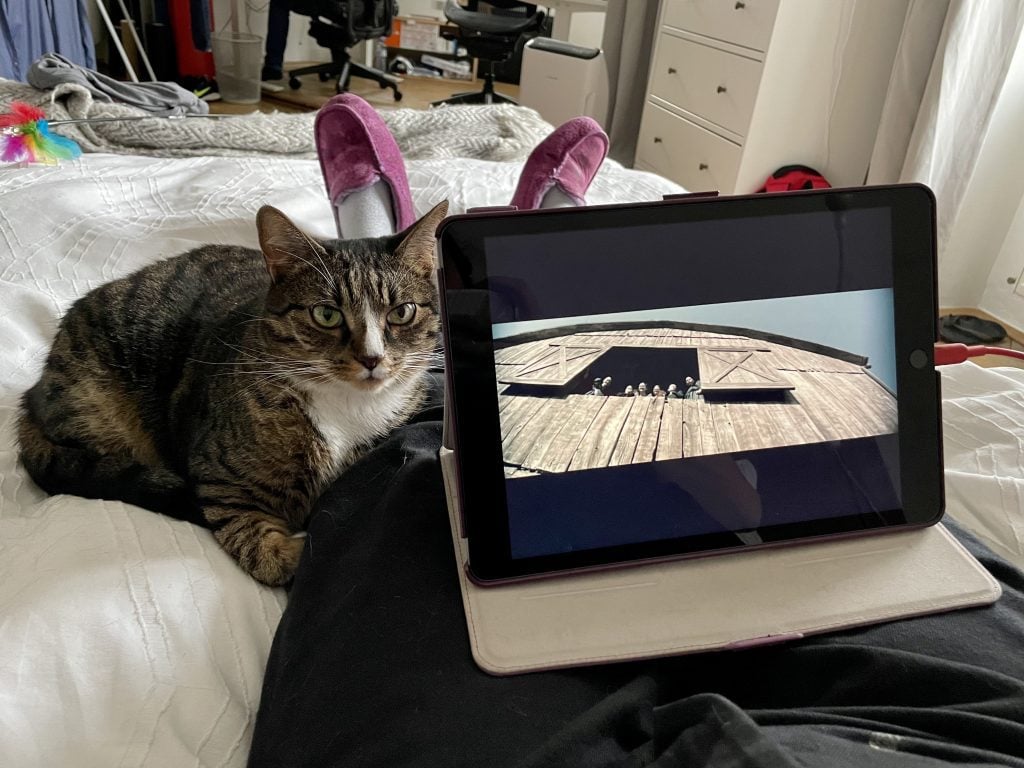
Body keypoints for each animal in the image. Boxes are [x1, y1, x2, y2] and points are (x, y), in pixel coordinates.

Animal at [18, 201, 450, 585]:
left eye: (402, 312)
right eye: (326, 314)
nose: (371, 358)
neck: (346, 406)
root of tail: (33, 392)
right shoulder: (219, 480)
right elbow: (256, 541)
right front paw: (294, 553)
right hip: (98, 408)